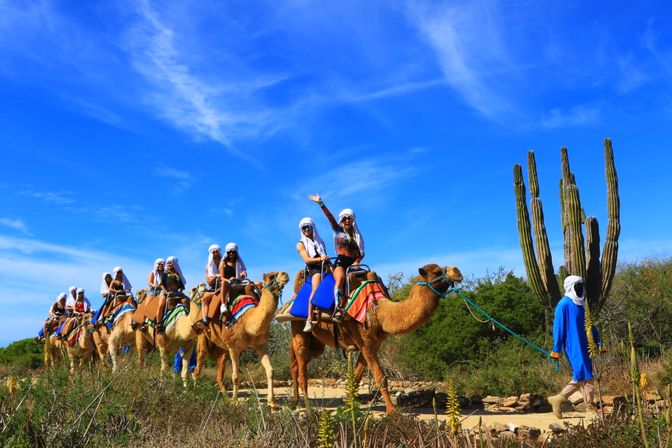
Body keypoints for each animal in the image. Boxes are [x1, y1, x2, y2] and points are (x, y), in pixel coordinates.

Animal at [193, 272, 290, 408]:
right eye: (271, 276)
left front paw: (272, 403)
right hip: (203, 338)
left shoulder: (260, 345)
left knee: (219, 375)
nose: (285, 275)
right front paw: (235, 401)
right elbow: (235, 376)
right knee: (197, 367)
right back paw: (193, 393)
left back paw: (224, 398)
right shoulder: (234, 347)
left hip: (222, 349)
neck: (248, 321)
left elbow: (270, 371)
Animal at [288, 264, 462, 414]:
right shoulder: (365, 340)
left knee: (295, 365)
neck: (379, 310)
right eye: (437, 272)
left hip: (316, 343)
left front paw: (349, 407)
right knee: (302, 366)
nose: (457, 271)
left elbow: (356, 377)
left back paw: (294, 404)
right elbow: (381, 377)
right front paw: (392, 412)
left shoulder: (374, 344)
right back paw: (309, 410)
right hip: (298, 326)